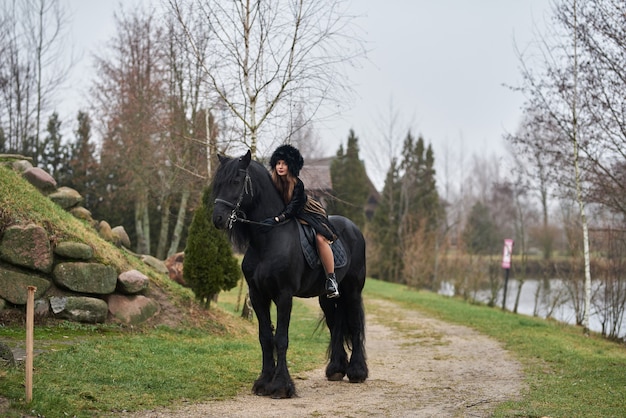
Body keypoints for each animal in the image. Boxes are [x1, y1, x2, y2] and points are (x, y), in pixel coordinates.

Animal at [211, 149, 366, 398]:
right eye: (218, 183)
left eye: (235, 181)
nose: (218, 219)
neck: (269, 238)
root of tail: (354, 229)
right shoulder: (258, 295)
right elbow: (266, 337)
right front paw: (264, 381)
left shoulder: (284, 295)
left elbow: (281, 338)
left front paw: (281, 386)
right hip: (326, 297)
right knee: (336, 325)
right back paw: (335, 369)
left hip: (353, 290)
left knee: (355, 324)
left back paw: (357, 372)